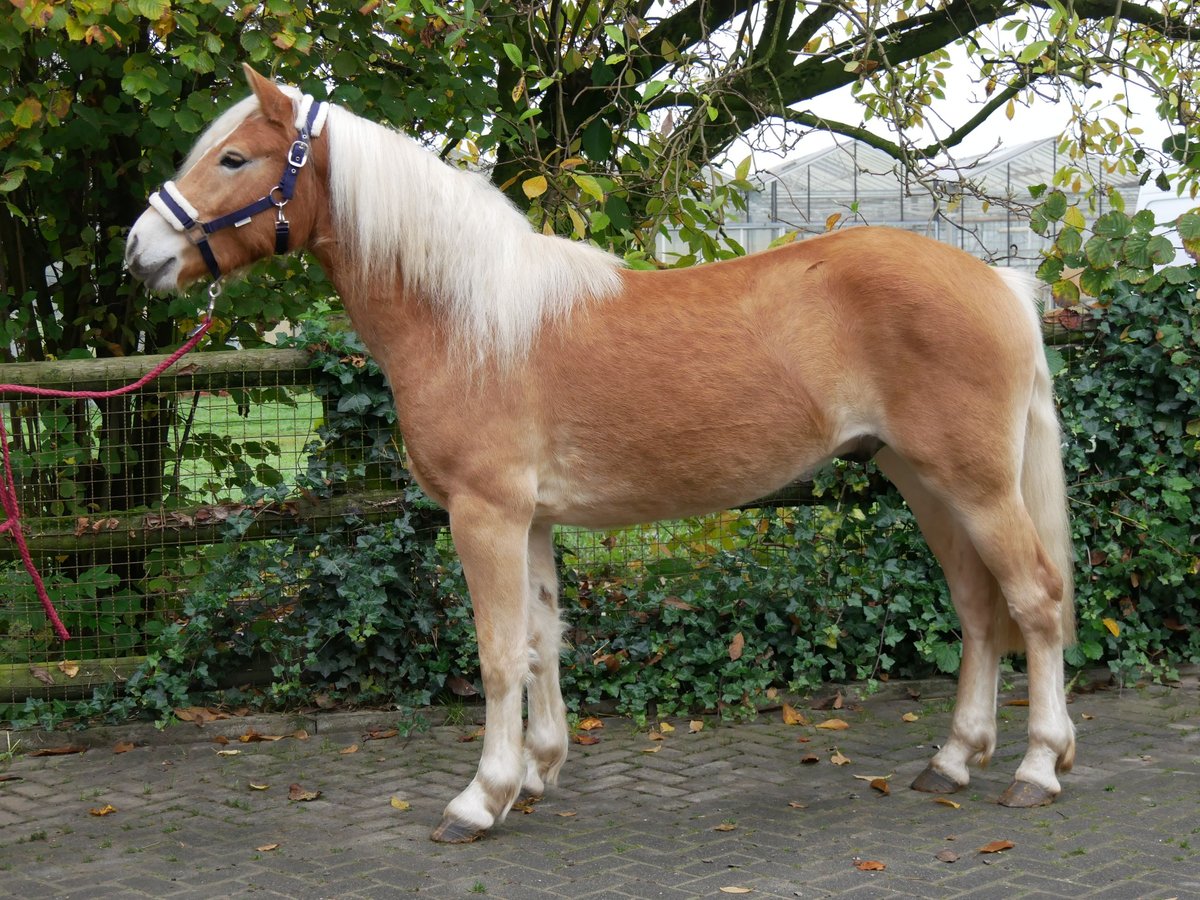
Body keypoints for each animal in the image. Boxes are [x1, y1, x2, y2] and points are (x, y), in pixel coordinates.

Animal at [124, 70, 1080, 844]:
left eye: (237, 159)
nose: (142, 252)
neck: (468, 319)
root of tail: (1001, 283)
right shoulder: (532, 521)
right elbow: (544, 639)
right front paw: (538, 770)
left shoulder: (486, 515)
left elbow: (497, 653)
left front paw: (481, 798)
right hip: (922, 481)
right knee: (978, 607)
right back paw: (953, 759)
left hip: (975, 486)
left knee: (1034, 600)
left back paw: (1038, 767)